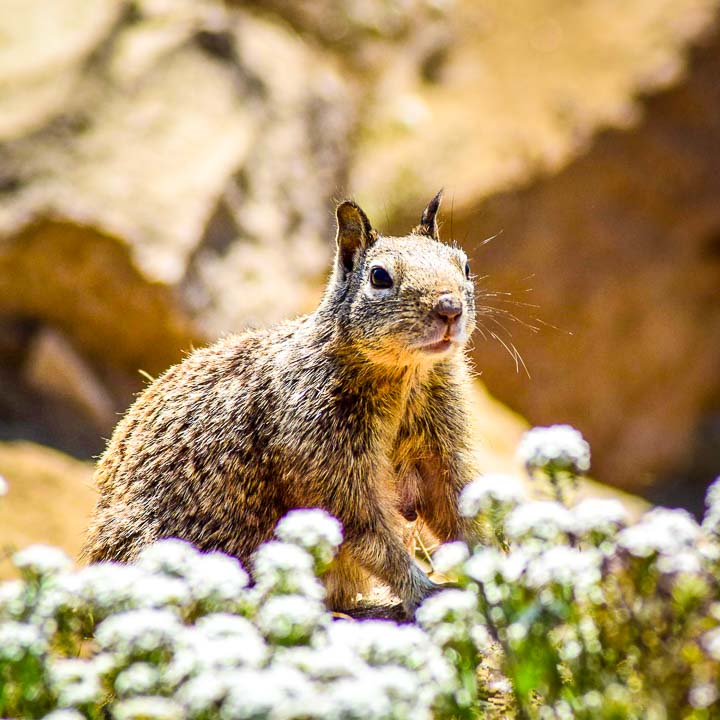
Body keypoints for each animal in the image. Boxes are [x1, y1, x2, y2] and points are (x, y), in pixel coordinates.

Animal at [81, 191, 478, 612]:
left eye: (465, 265)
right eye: (380, 277)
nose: (450, 309)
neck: (405, 379)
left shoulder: (441, 453)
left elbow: (456, 511)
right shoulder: (329, 470)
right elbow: (371, 537)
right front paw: (423, 590)